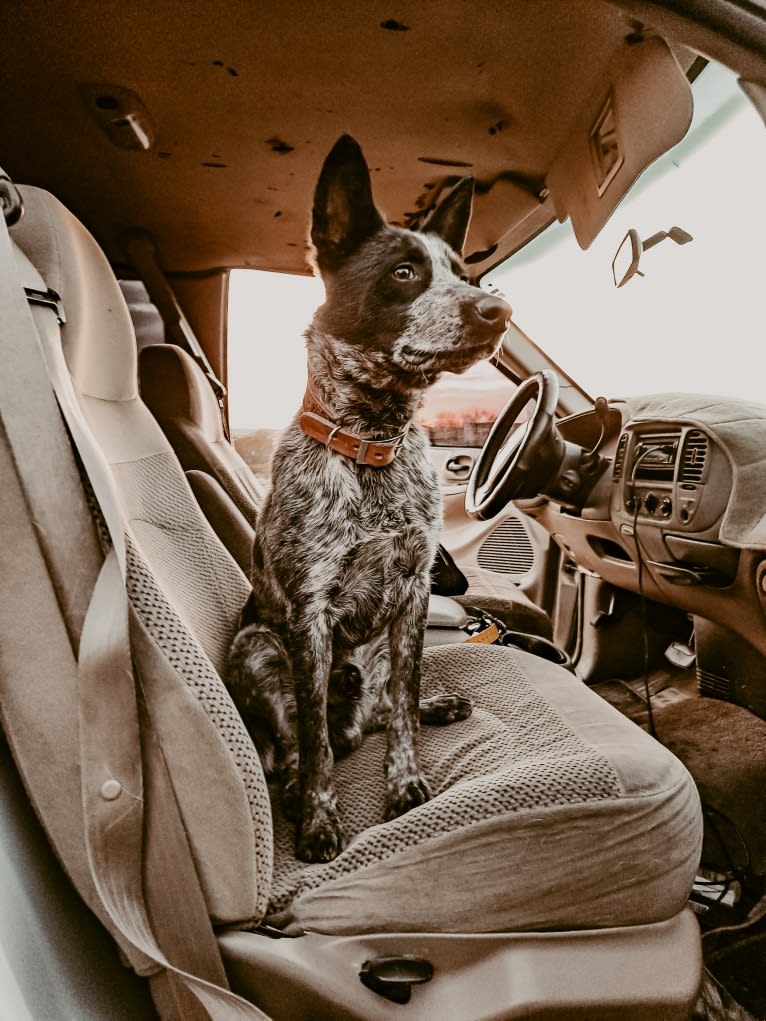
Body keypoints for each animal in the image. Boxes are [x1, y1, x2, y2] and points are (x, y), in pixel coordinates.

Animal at [227, 131, 516, 857]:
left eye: (465, 275)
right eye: (404, 273)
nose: (498, 310)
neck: (372, 446)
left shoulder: (413, 592)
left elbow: (406, 711)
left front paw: (406, 783)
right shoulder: (308, 614)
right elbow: (316, 744)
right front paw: (321, 816)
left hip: (383, 646)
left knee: (389, 705)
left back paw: (430, 705)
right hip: (258, 648)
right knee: (300, 742)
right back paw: (296, 786)